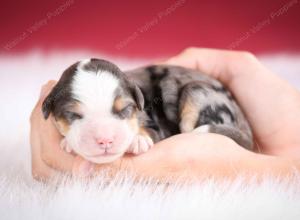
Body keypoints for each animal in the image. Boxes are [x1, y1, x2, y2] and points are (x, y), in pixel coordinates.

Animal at [42, 57, 253, 164]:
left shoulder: (155, 123)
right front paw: (68, 143)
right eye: (73, 115)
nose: (105, 140)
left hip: (197, 92)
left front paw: (138, 139)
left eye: (125, 109)